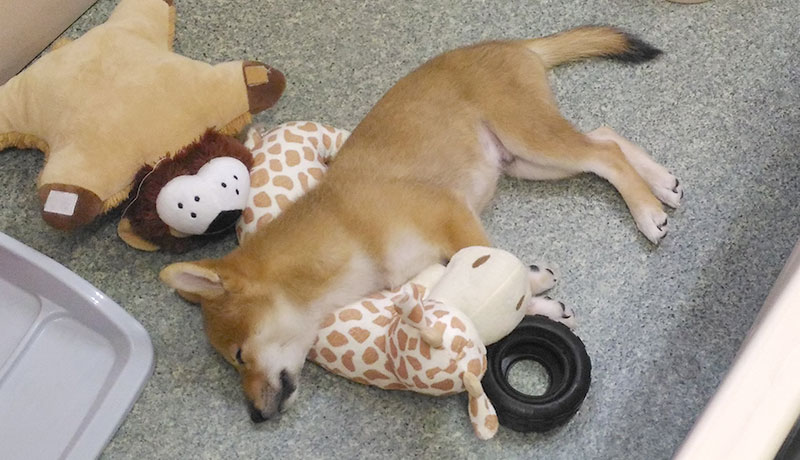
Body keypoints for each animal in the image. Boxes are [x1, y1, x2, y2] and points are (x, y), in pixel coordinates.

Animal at [161, 24, 680, 420]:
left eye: (239, 357)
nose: (255, 415)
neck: (347, 231)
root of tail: (512, 45)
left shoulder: (451, 216)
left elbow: (492, 264)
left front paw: (532, 293)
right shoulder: (427, 266)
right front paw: (539, 296)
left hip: (529, 138)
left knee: (604, 154)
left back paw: (647, 210)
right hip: (526, 160)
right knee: (606, 140)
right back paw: (662, 184)